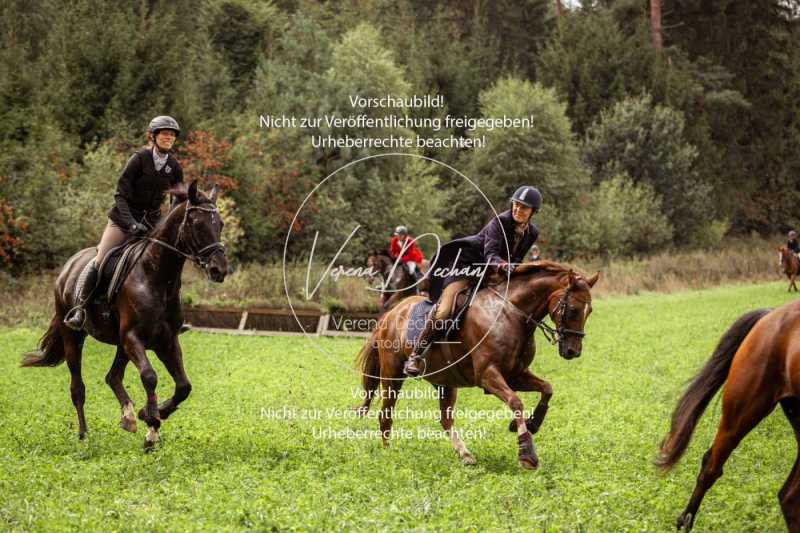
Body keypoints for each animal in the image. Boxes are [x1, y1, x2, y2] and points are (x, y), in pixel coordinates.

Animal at [21, 182, 228, 448]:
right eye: (197, 224)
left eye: (220, 224)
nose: (219, 269)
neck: (157, 277)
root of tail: (68, 267)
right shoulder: (133, 337)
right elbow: (149, 377)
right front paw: (151, 423)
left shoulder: (166, 341)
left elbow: (184, 386)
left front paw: (151, 415)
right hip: (73, 337)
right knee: (78, 387)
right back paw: (84, 435)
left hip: (121, 344)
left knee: (113, 377)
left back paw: (128, 416)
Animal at [358, 260, 600, 468]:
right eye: (573, 309)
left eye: (589, 311)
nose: (573, 351)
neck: (510, 314)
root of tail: (392, 312)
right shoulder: (488, 376)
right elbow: (516, 402)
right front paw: (526, 452)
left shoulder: (516, 374)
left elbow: (547, 389)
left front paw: (531, 424)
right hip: (392, 376)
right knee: (386, 415)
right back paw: (389, 454)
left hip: (446, 381)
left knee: (445, 420)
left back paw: (465, 455)